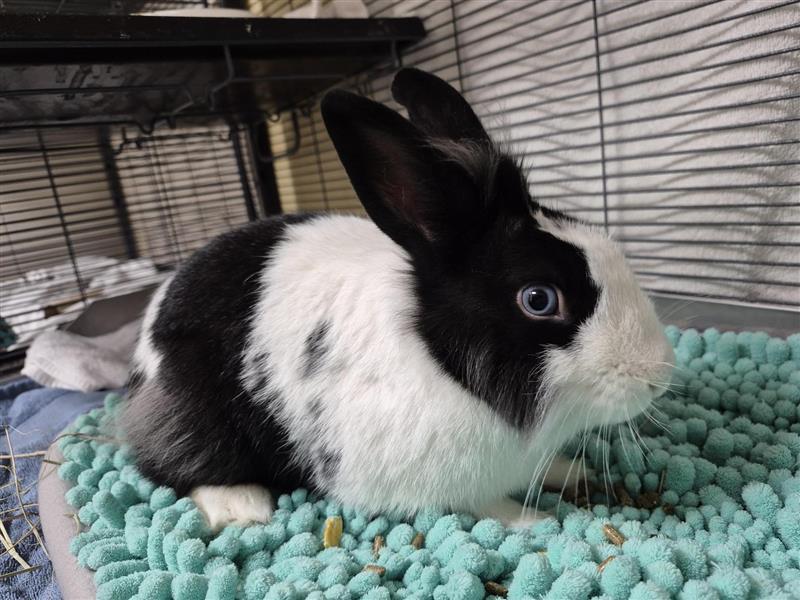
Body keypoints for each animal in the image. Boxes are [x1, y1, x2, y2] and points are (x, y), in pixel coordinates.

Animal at [122, 68, 674, 532]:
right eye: (539, 299)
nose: (658, 376)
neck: (441, 360)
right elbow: (485, 503)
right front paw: (533, 521)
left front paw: (568, 470)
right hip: (195, 416)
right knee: (170, 463)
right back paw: (242, 506)